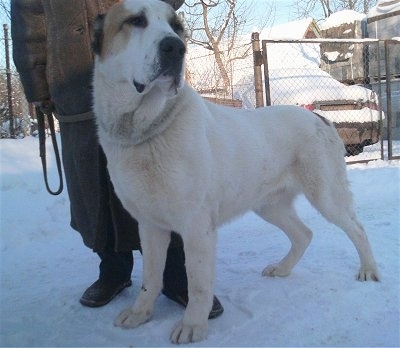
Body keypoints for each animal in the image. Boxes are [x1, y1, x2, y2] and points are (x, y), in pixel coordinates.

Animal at [92, 0, 380, 342]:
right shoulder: (149, 225)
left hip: (326, 196)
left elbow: (198, 283)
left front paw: (193, 325)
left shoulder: (196, 226)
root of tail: (319, 117)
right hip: (269, 205)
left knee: (357, 229)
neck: (148, 129)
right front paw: (140, 314)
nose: (176, 47)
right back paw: (283, 268)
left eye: (176, 27)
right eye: (136, 21)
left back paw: (369, 269)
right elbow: (150, 278)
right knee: (304, 234)